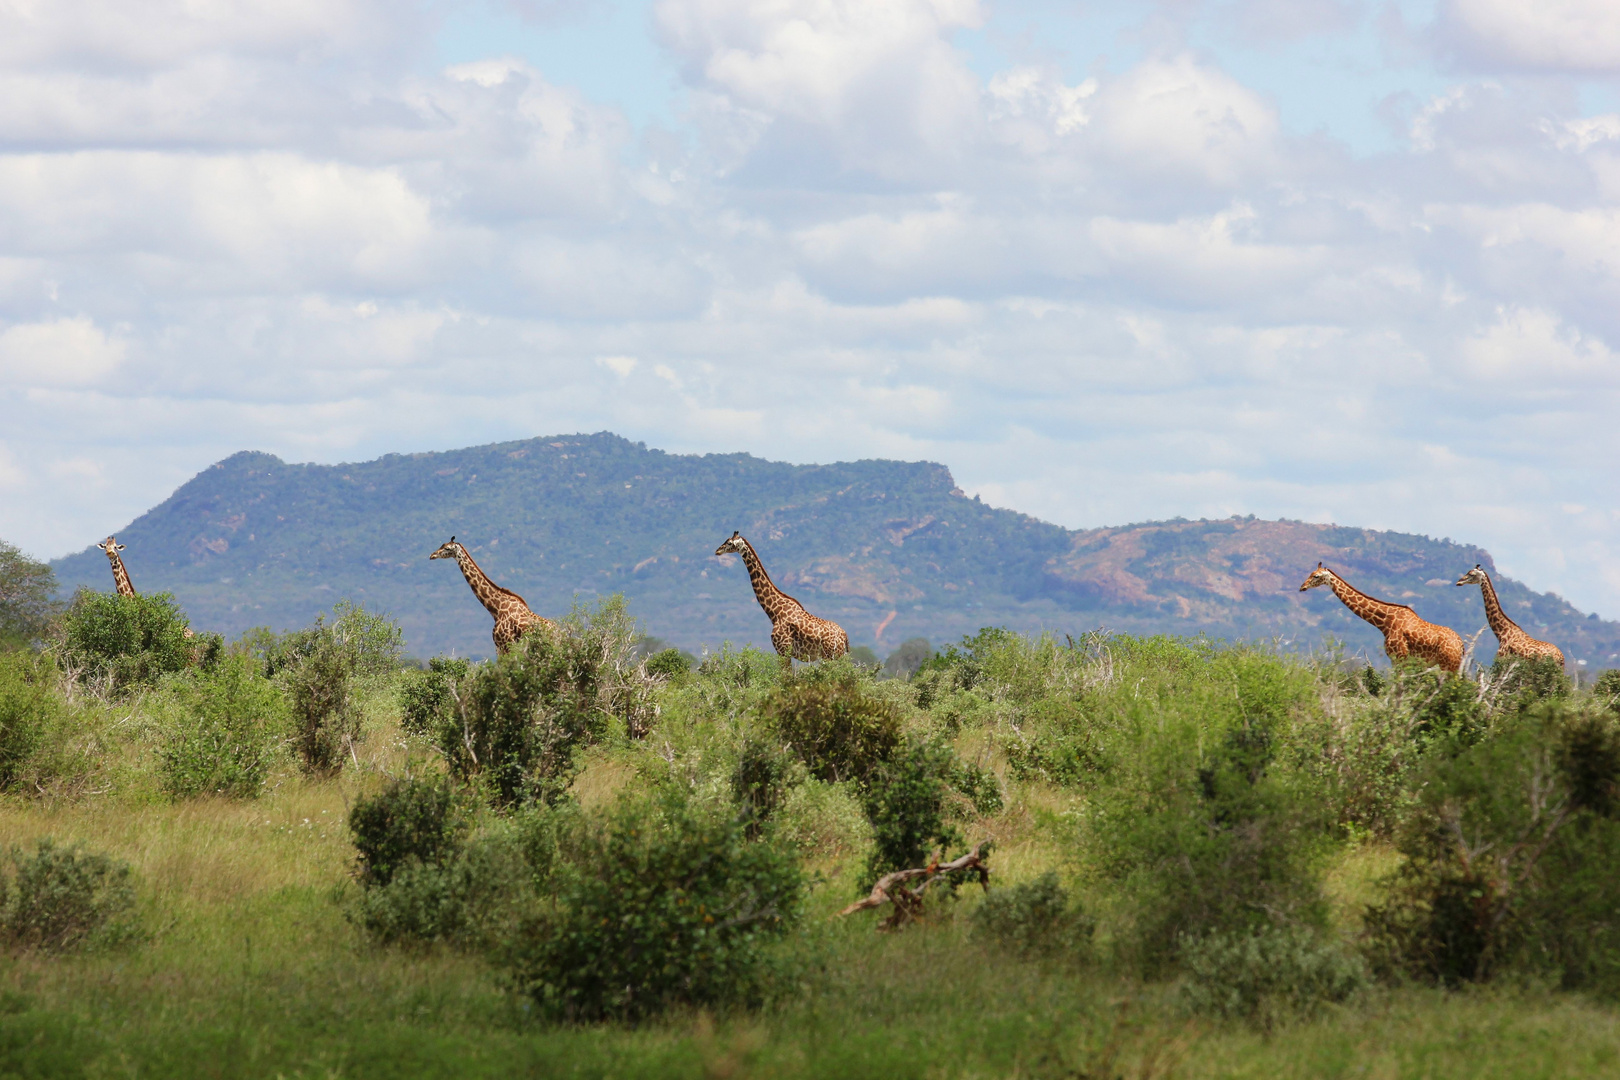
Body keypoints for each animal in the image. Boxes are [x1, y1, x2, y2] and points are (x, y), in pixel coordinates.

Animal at [716, 534, 855, 667]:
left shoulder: (783, 650)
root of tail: (845, 636)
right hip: (838, 656)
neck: (775, 612)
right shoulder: (784, 652)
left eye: (729, 543)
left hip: (830, 656)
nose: (717, 551)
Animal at [1302, 563, 1470, 670]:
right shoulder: (1402, 661)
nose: (1302, 587)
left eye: (1316, 576)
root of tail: (1461, 645)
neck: (1385, 623)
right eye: (1310, 574)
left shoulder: (1399, 658)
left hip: (1448, 665)